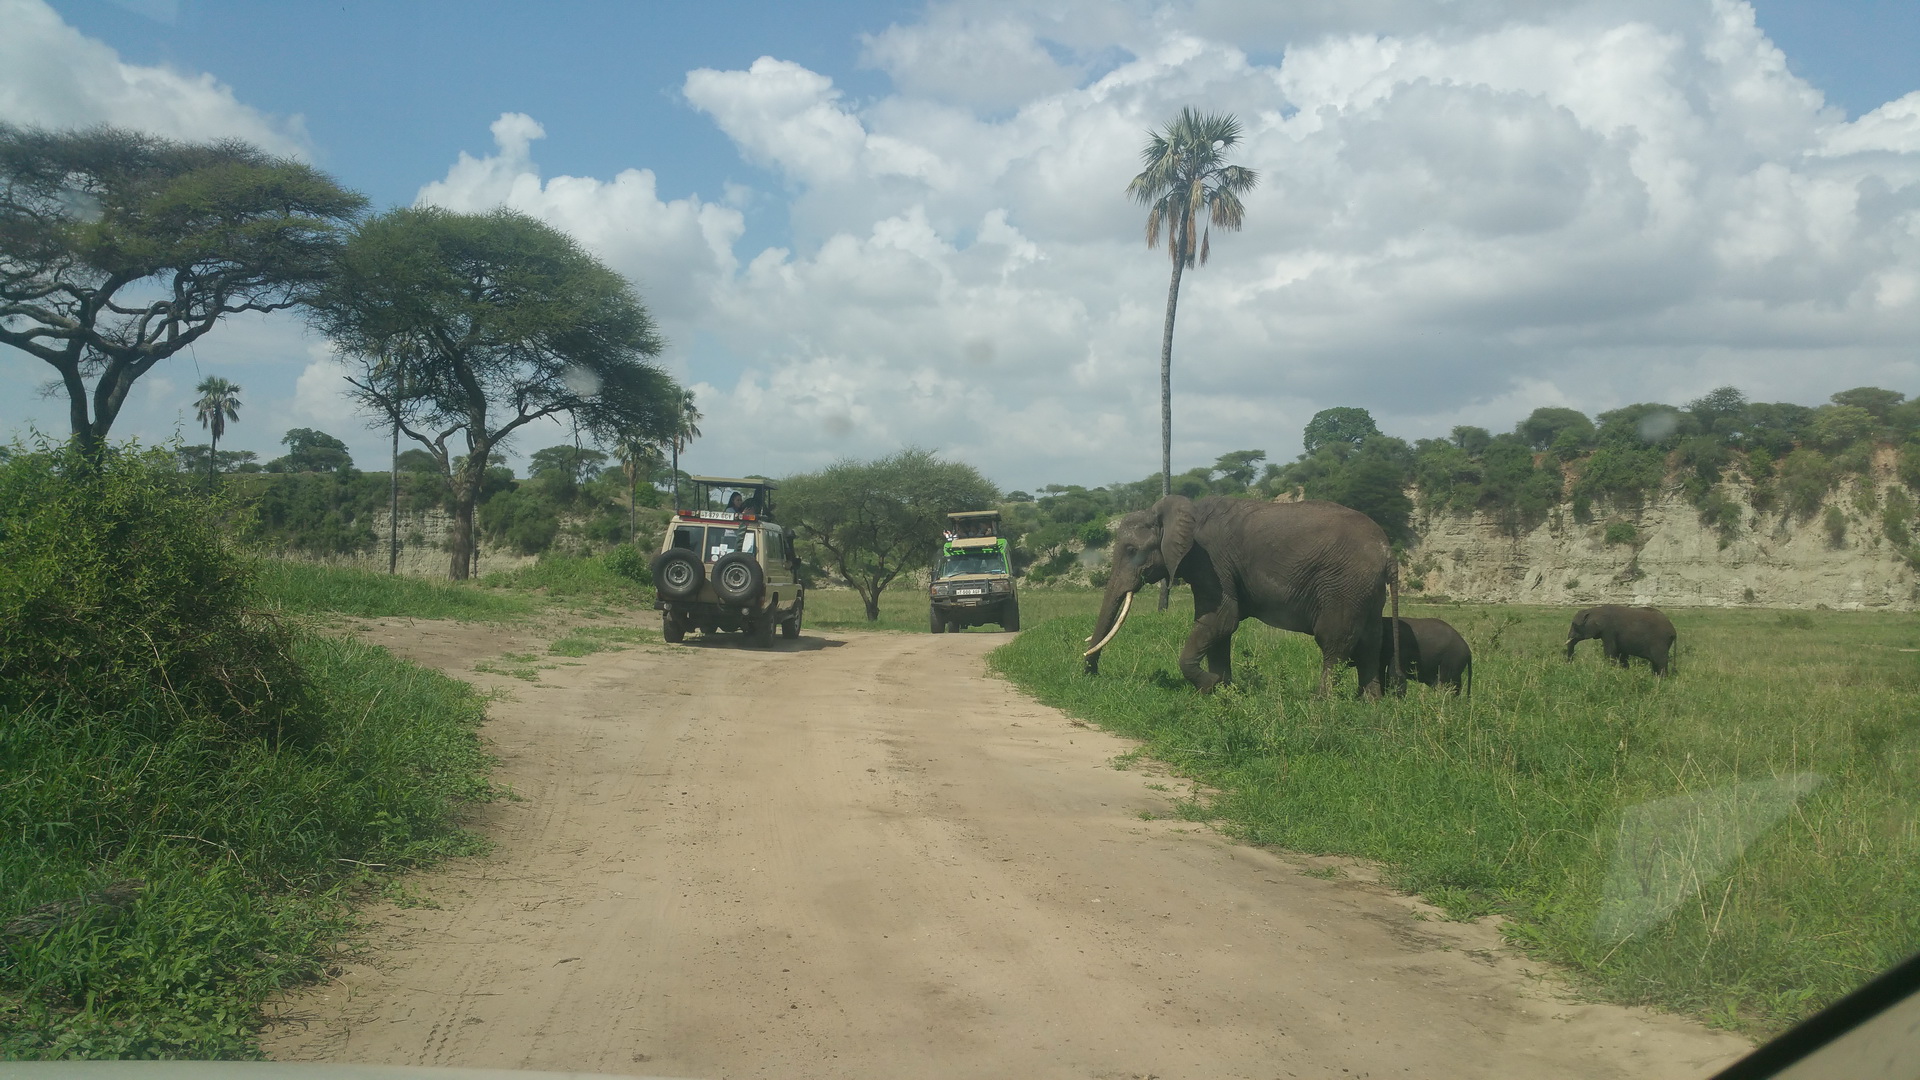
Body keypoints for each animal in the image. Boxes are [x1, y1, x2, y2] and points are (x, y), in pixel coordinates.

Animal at [1082, 495, 1397, 691]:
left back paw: (1322, 704)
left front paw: (1209, 685)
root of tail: (1388, 551)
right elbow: (1219, 627)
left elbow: (1221, 619)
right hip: (1365, 589)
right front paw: (1222, 690)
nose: (1092, 675)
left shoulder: (1211, 561)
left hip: (1343, 584)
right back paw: (1369, 704)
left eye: (1131, 550)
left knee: (1334, 641)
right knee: (1371, 641)